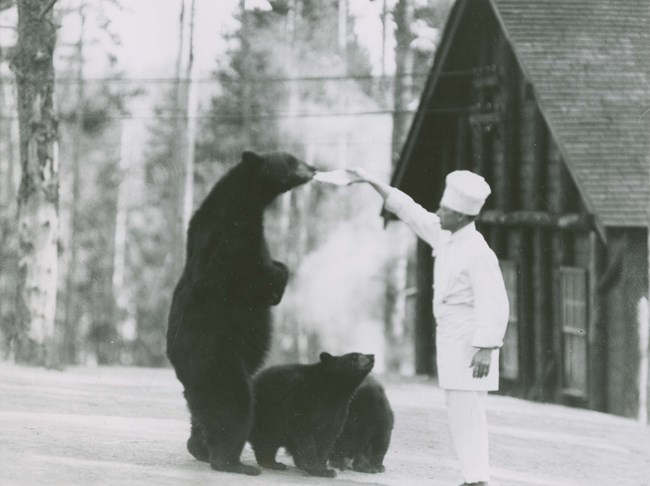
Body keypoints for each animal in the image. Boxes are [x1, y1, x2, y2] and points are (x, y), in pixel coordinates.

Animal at [166, 151, 315, 476]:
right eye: (291, 159)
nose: (314, 168)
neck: (245, 198)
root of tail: (180, 369)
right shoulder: (232, 238)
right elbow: (251, 275)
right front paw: (278, 281)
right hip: (219, 363)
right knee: (233, 406)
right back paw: (233, 462)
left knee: (202, 415)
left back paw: (200, 448)